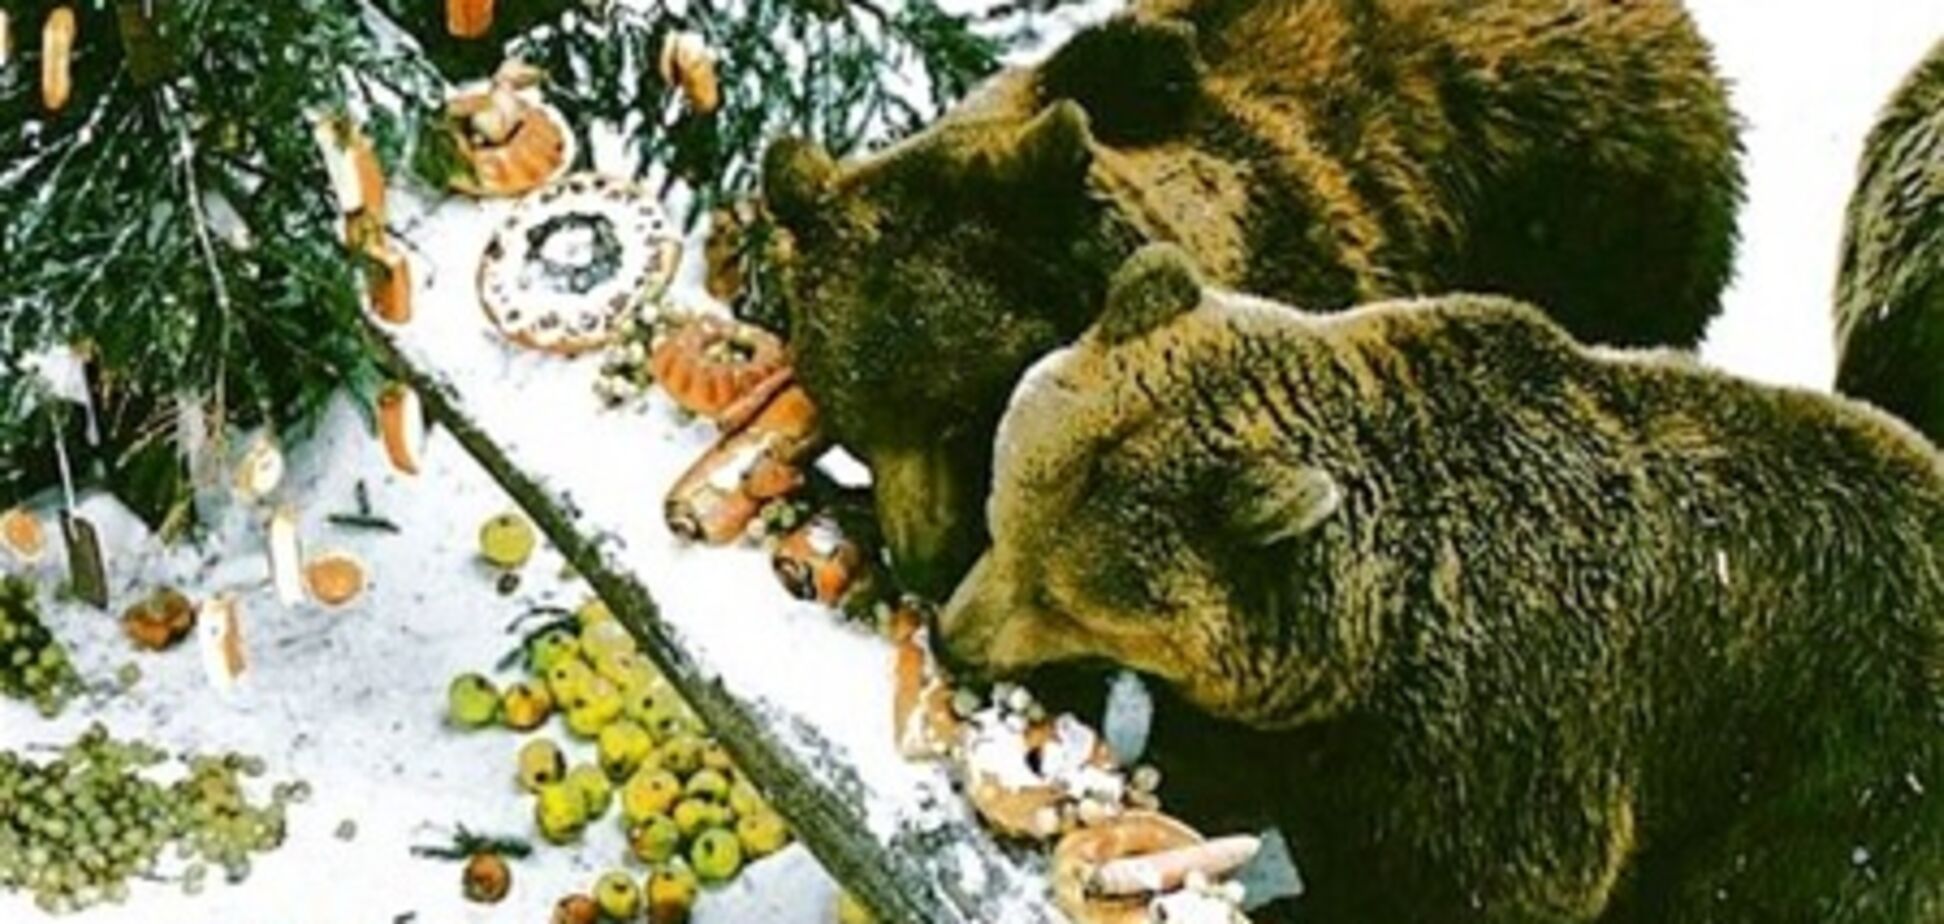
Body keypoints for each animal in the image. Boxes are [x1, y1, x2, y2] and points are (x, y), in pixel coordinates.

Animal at [937, 246, 1944, 924]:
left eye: (1062, 595)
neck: (1374, 636)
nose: (954, 636)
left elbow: (1486, 881)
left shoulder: (1511, 726)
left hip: (1843, 785)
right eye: (1003, 514)